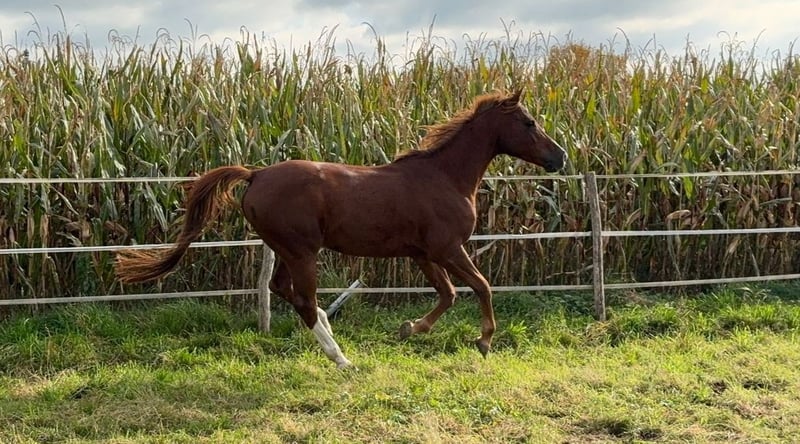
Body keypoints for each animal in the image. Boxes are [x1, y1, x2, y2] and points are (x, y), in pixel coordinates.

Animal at [115, 90, 567, 368]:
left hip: (286, 249)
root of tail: (256, 174)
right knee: (303, 300)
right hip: (302, 251)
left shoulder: (422, 254)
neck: (445, 178)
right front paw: (485, 341)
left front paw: (410, 329)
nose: (560, 157)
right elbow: (481, 286)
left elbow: (449, 293)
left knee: (284, 291)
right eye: (529, 122)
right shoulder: (448, 248)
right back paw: (342, 358)